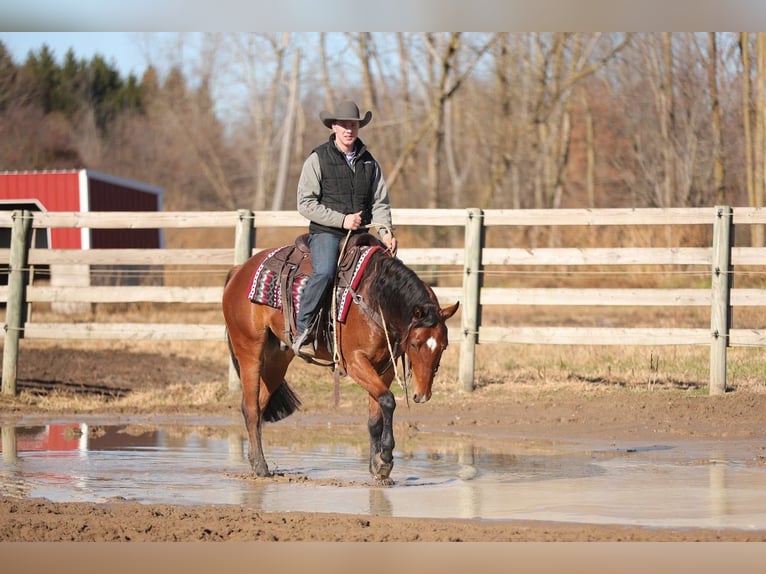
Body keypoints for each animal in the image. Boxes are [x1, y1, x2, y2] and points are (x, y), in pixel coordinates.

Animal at [222, 233, 459, 482]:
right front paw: (385, 458)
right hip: (250, 351)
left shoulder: (384, 368)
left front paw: (377, 467)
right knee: (250, 408)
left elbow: (375, 417)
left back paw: (255, 460)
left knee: (259, 405)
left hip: (277, 360)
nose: (422, 395)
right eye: (415, 344)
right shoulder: (355, 362)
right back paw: (260, 466)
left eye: (443, 346)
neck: (376, 299)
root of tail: (238, 271)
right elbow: (388, 400)